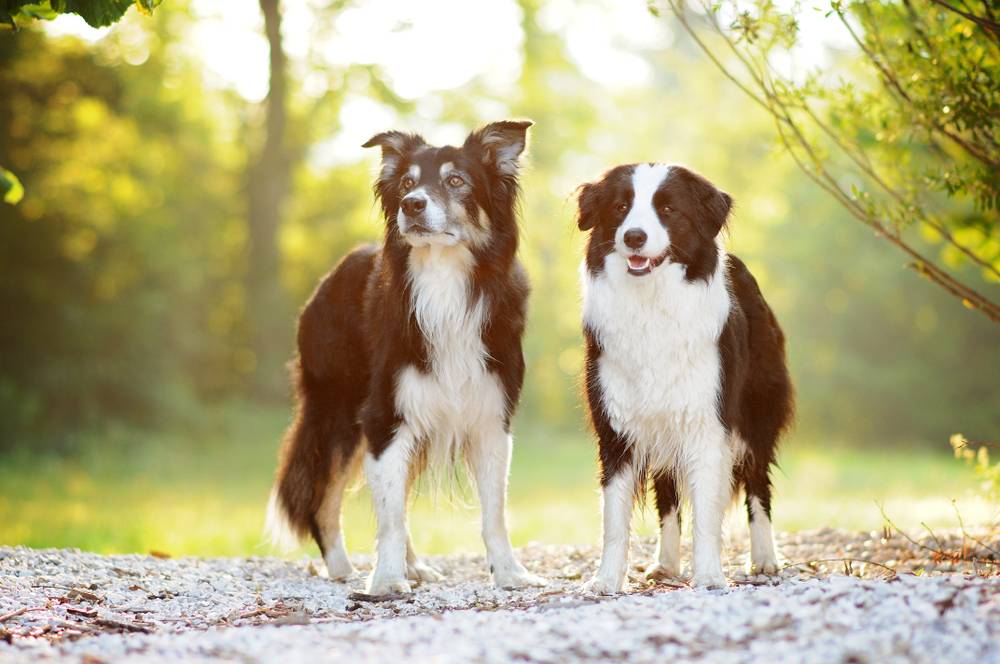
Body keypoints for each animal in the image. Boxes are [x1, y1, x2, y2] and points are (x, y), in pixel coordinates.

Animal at [268, 120, 548, 596]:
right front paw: (384, 580)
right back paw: (344, 568)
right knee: (326, 499)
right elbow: (390, 519)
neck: (444, 280)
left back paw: (412, 567)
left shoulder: (490, 417)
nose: (411, 204)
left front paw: (510, 573)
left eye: (457, 181)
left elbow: (494, 513)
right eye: (405, 184)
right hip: (339, 412)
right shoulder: (386, 413)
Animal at [576, 162, 792, 592]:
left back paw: (764, 559)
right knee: (668, 497)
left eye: (669, 209)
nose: (634, 236)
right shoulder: (616, 428)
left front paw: (709, 576)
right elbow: (614, 518)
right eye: (621, 206)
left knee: (758, 485)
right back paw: (667, 564)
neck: (651, 302)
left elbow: (708, 515)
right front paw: (606, 580)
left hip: (757, 415)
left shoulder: (707, 423)